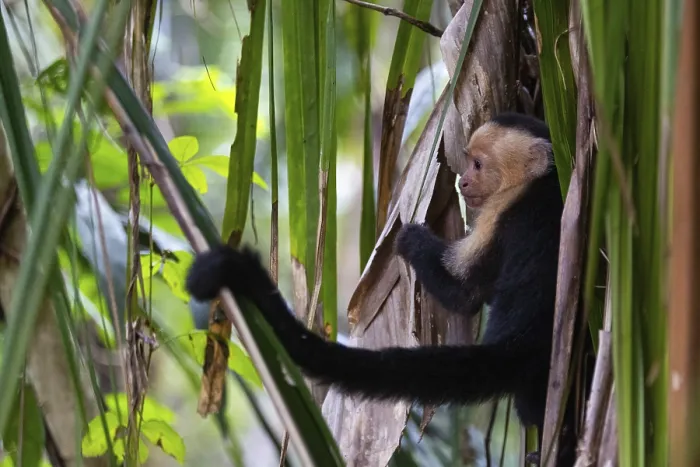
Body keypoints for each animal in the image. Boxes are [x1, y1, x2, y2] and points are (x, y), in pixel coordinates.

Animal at [185, 112, 581, 466]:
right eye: (469, 162)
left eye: (479, 165)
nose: (463, 183)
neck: (538, 181)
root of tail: (519, 342)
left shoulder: (501, 212)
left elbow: (463, 293)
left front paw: (410, 238)